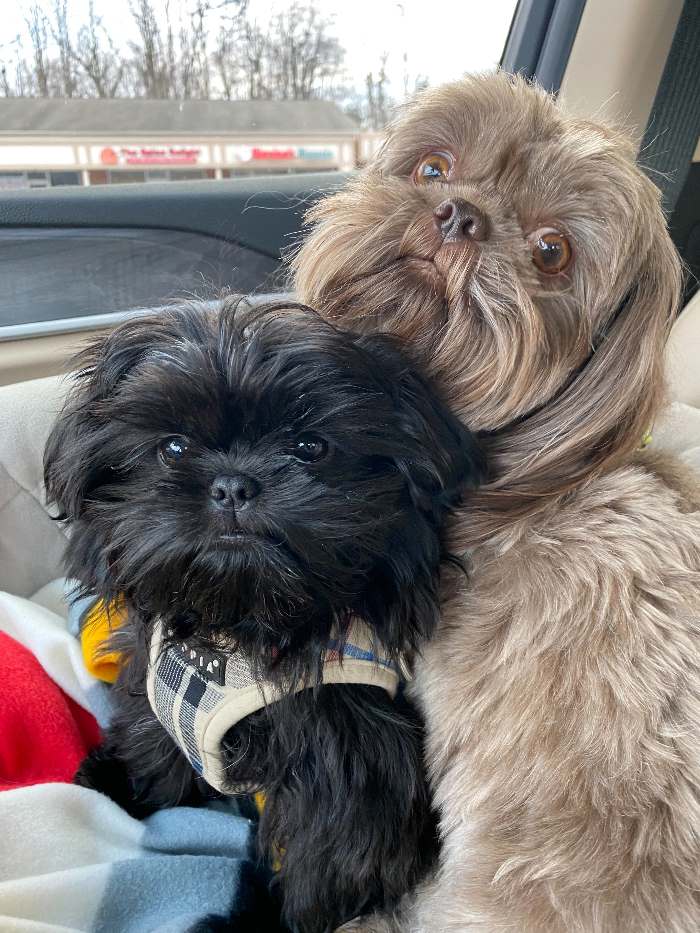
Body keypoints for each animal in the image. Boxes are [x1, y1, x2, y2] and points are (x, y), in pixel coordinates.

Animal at [42, 298, 482, 932]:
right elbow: (154, 739)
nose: (232, 483)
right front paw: (126, 783)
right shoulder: (154, 686)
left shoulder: (350, 760)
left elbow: (328, 863)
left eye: (311, 448)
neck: (235, 627)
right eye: (173, 448)